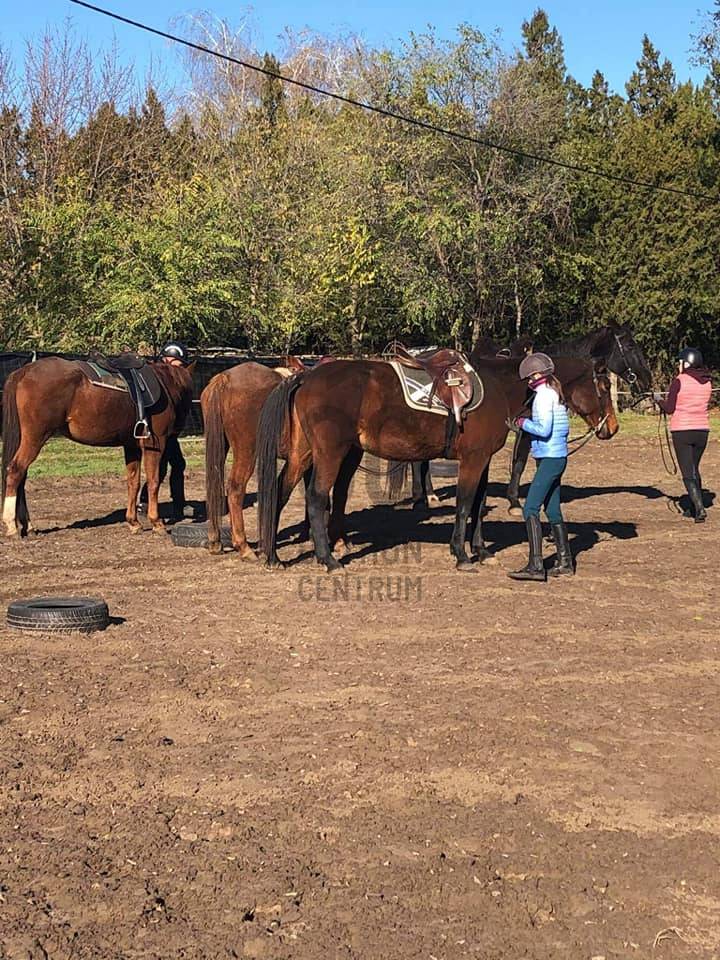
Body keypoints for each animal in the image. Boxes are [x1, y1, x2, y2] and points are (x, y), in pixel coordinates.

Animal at [1, 356, 193, 536]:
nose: (179, 426)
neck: (165, 385)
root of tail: (24, 371)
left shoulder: (131, 447)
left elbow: (133, 482)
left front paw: (133, 522)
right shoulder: (155, 444)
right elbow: (154, 481)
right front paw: (156, 522)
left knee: (22, 477)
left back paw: (28, 526)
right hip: (35, 438)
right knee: (16, 470)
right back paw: (11, 524)